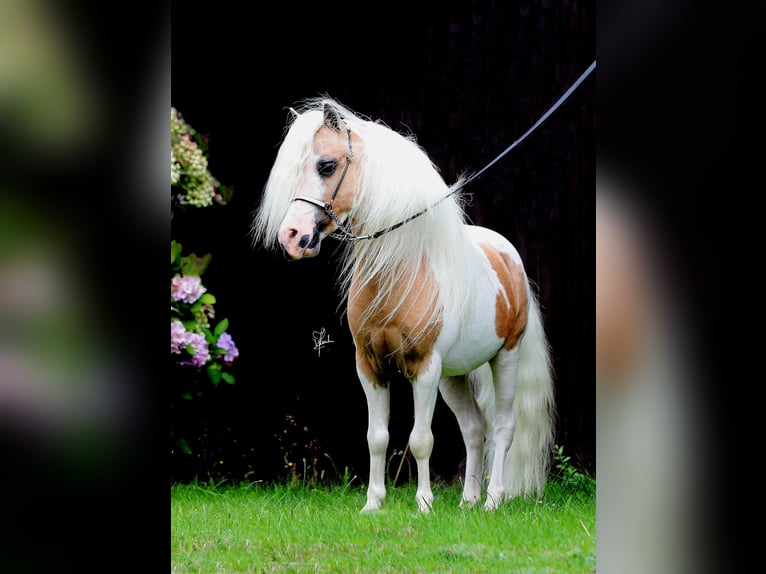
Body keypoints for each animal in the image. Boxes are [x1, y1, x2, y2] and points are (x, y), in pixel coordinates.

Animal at [254, 97, 560, 516]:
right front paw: (373, 503)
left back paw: (492, 499)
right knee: (474, 429)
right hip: (453, 376)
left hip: (504, 360)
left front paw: (424, 503)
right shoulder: (369, 367)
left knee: (502, 427)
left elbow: (420, 439)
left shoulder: (424, 368)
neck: (400, 274)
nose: (293, 236)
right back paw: (467, 501)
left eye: (327, 165)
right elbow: (377, 437)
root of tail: (507, 257)